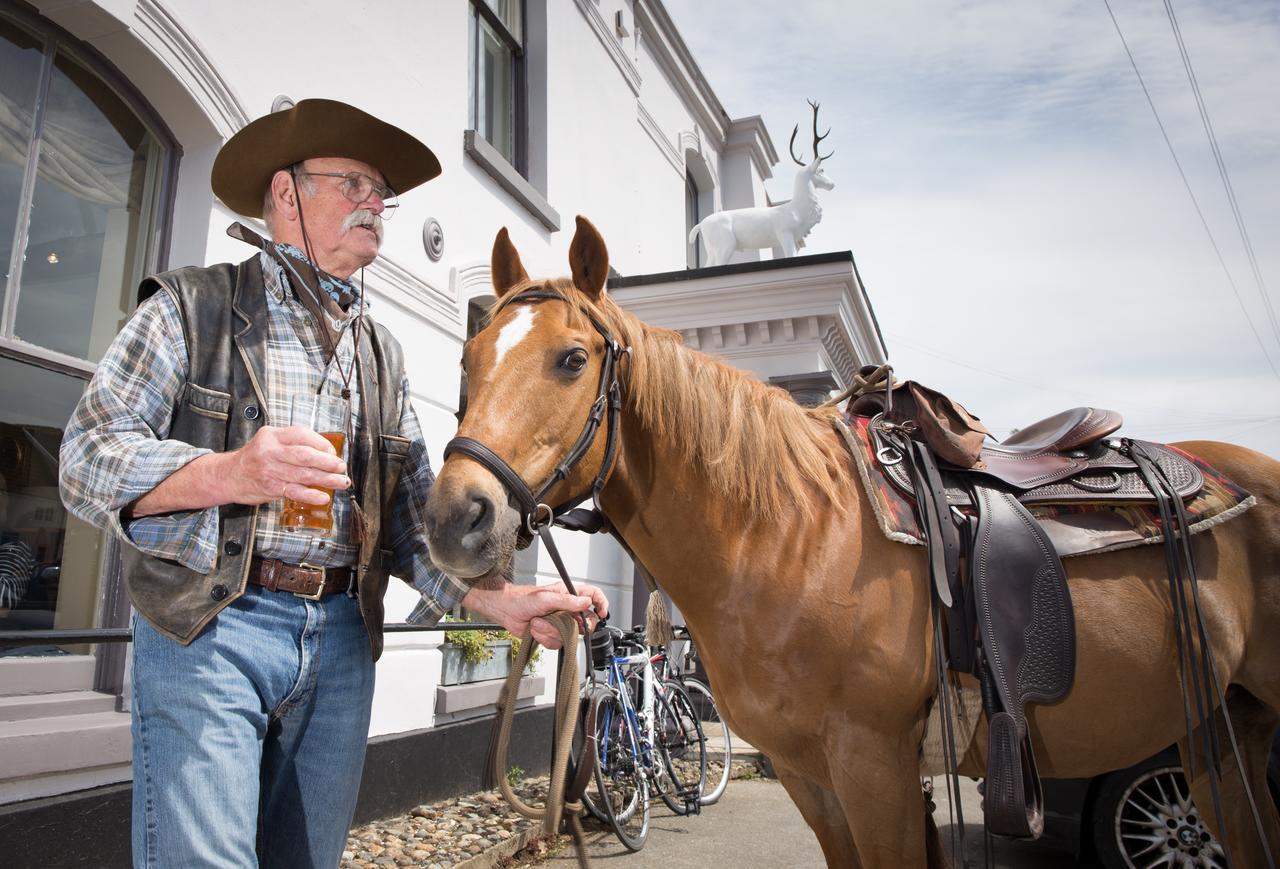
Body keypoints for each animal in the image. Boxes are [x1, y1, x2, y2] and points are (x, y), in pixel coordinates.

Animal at [422, 217, 1280, 869]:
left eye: (572, 359)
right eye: (466, 358)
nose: (453, 519)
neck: (790, 538)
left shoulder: (877, 766)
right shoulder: (814, 778)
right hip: (1218, 731)